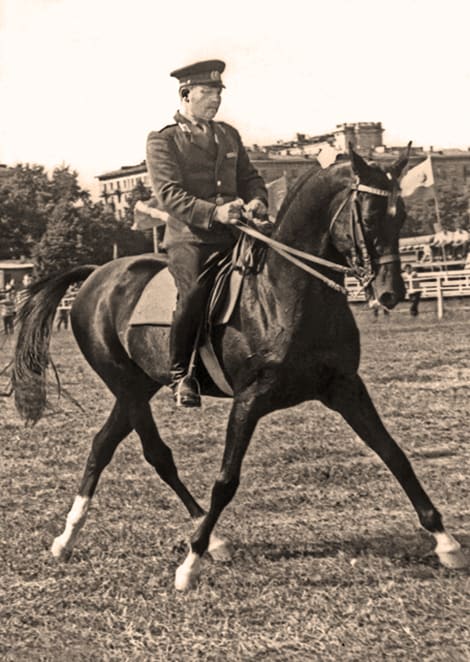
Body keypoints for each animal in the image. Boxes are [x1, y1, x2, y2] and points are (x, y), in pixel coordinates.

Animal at [13, 147, 466, 591]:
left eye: (402, 216)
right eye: (369, 217)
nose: (391, 293)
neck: (287, 293)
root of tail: (96, 274)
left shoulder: (346, 388)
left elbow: (393, 454)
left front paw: (445, 542)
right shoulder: (249, 400)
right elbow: (226, 480)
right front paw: (189, 565)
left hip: (139, 387)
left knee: (102, 444)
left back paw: (69, 536)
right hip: (125, 385)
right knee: (156, 454)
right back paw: (200, 539)